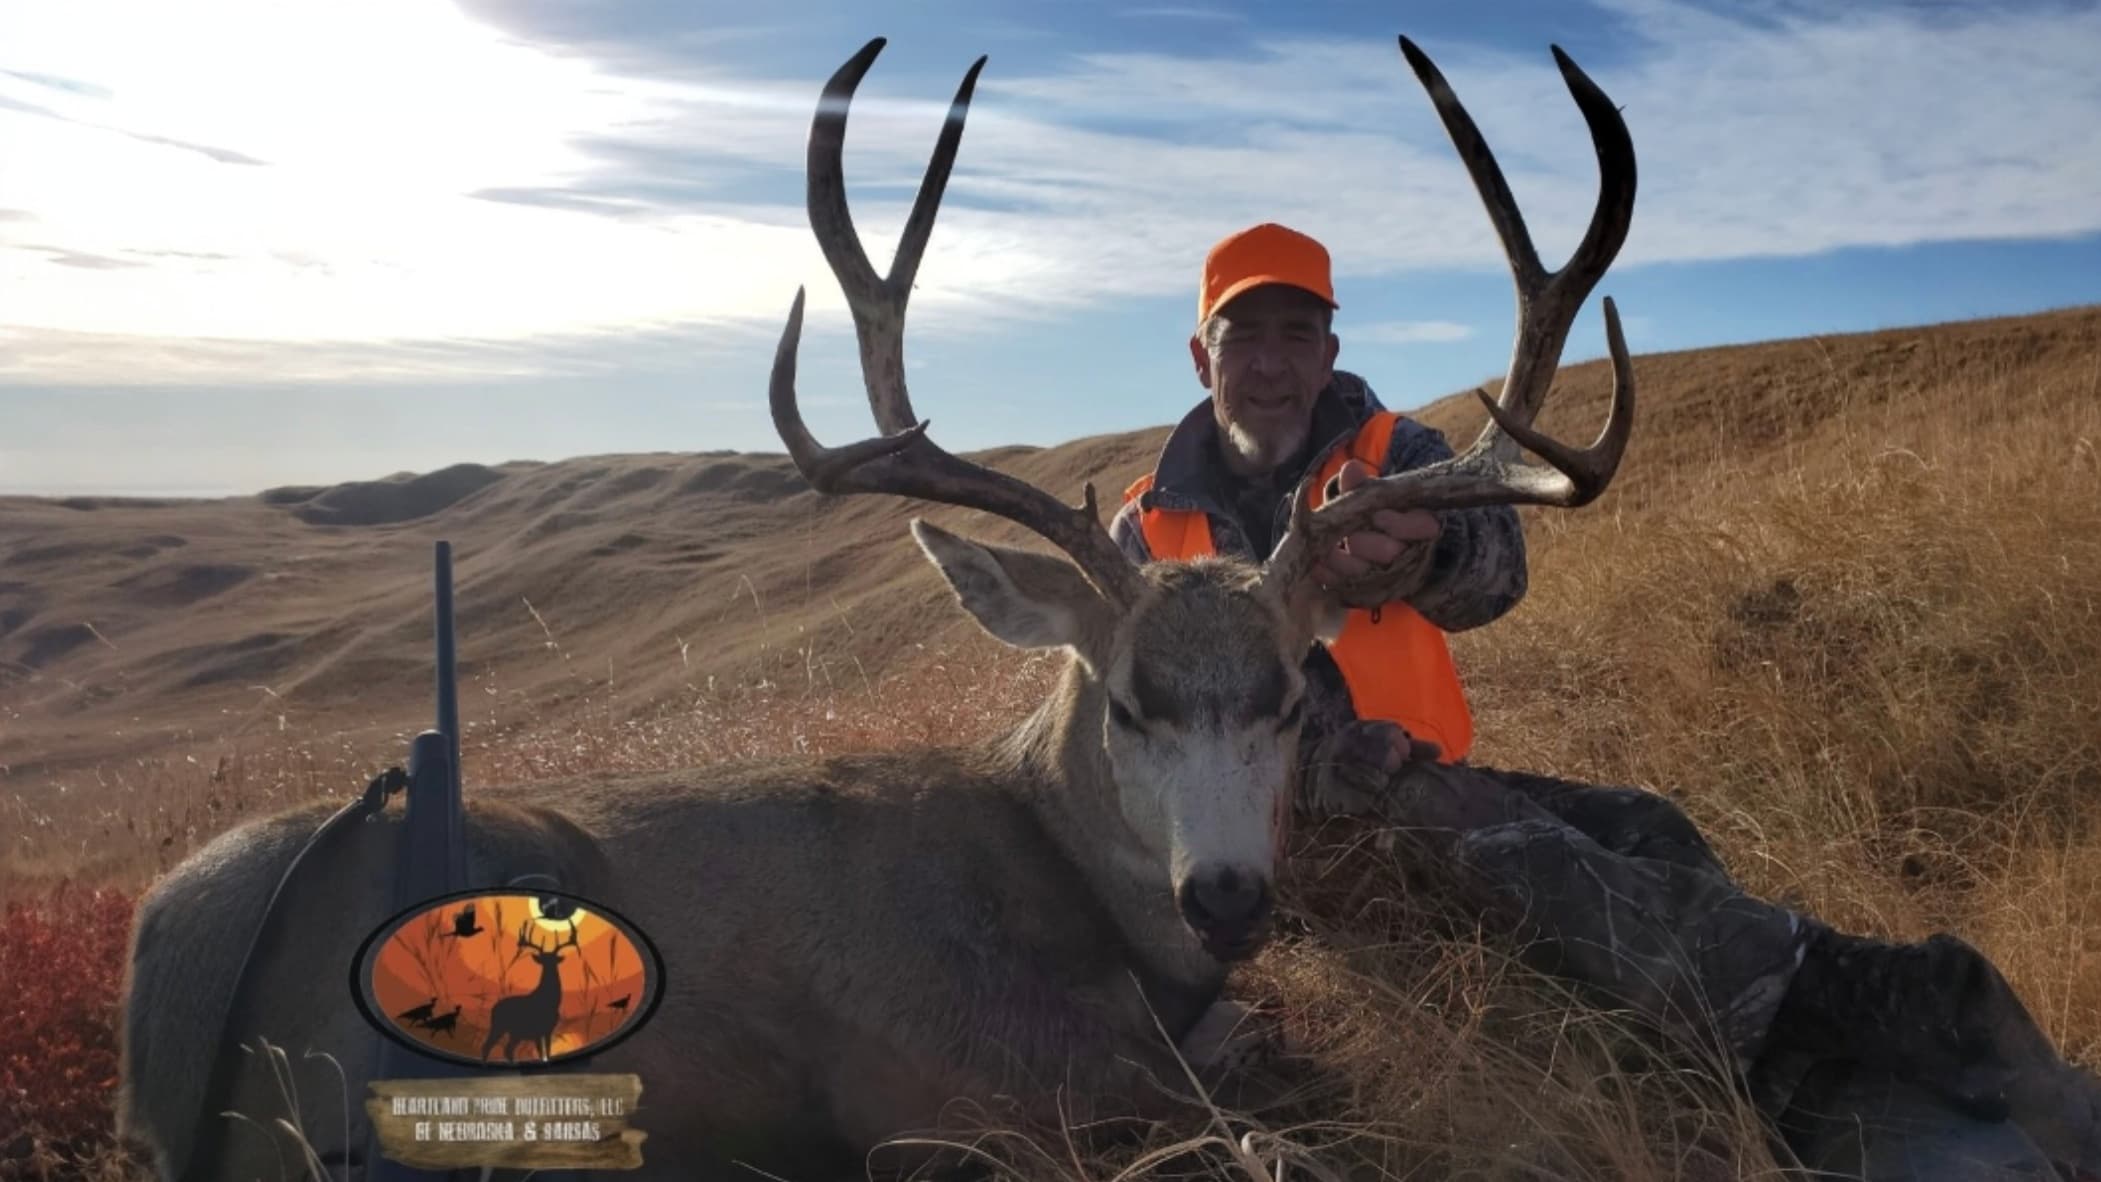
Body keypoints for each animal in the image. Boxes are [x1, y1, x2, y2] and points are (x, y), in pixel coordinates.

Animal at [480, 919, 580, 1062]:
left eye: (553, 960)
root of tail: (493, 1009)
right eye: (544, 960)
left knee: (508, 1050)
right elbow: (541, 1054)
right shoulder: (536, 1030)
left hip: (515, 1033)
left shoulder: (548, 1030)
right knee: (487, 1046)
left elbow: (548, 1053)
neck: (550, 1002)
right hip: (498, 1026)